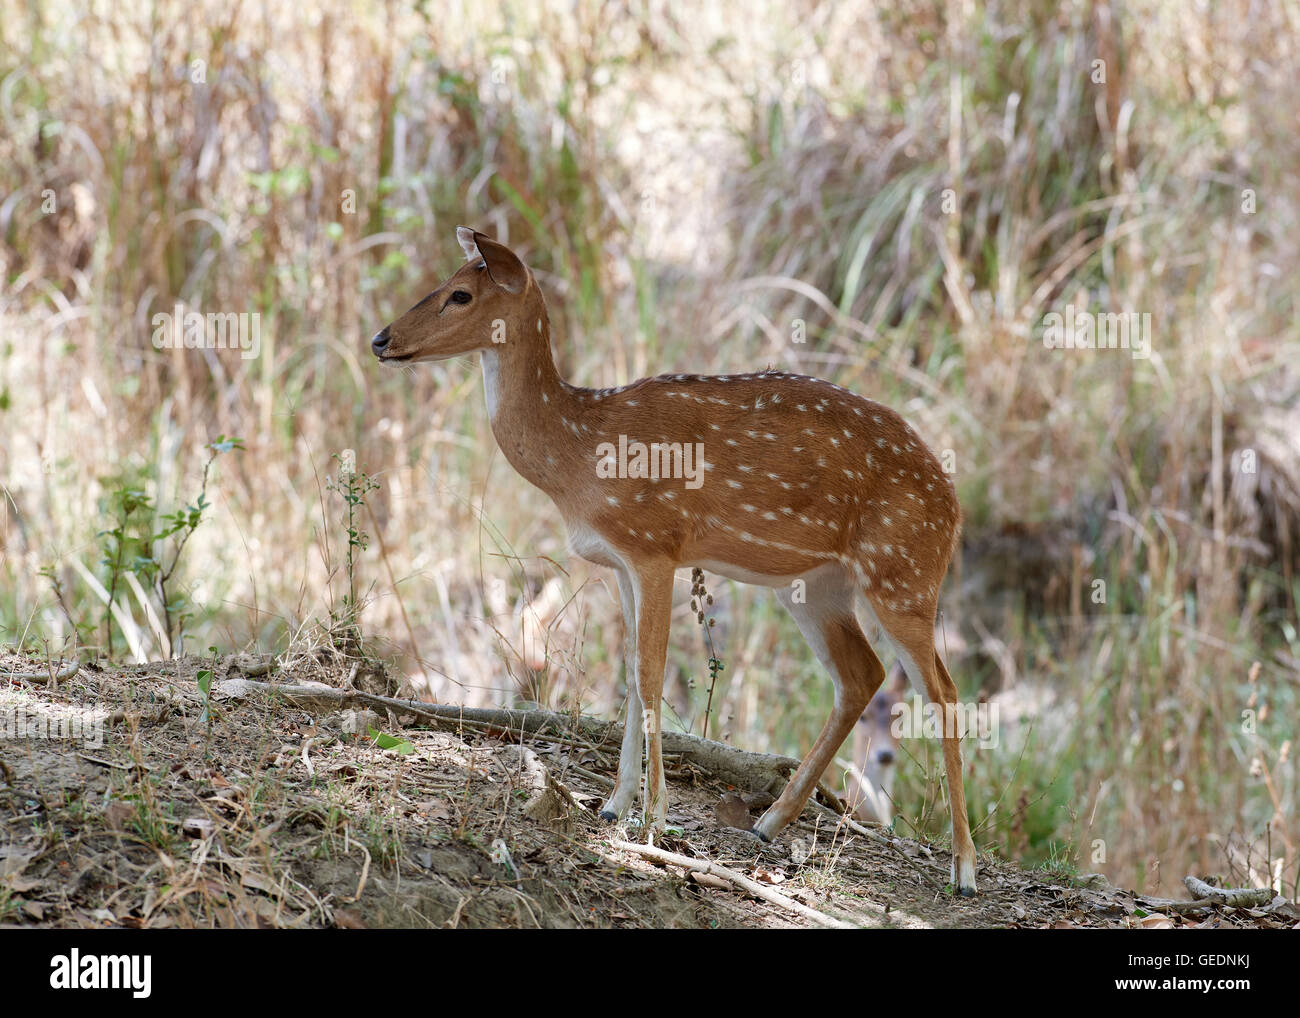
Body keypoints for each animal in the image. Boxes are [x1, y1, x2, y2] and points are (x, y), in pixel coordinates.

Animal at [371, 227, 978, 895]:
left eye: (460, 293)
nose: (381, 339)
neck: (578, 457)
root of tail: (954, 503)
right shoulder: (618, 563)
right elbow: (632, 673)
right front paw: (614, 805)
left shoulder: (654, 544)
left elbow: (651, 671)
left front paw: (654, 819)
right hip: (817, 584)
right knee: (861, 675)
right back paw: (769, 822)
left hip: (903, 572)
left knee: (945, 691)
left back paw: (964, 869)